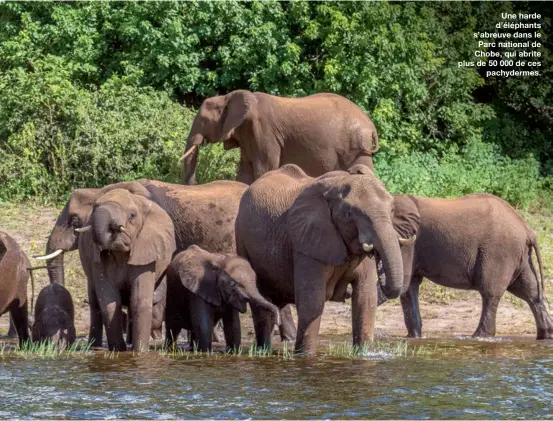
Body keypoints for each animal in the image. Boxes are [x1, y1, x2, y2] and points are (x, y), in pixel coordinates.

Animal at [181, 89, 380, 185]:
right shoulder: (248, 136)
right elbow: (245, 171)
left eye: (204, 120)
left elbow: (264, 168)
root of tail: (371, 125)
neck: (227, 96)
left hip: (355, 146)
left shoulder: (264, 131)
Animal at [234, 164, 414, 354]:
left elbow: (365, 299)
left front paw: (363, 354)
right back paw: (262, 352)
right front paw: (305, 356)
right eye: (349, 214)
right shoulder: (306, 243)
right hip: (242, 239)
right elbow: (312, 303)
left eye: (392, 210)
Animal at [388, 192, 552, 340]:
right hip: (520, 255)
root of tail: (527, 229)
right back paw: (545, 335)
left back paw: (479, 337)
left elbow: (403, 282)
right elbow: (409, 285)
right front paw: (413, 338)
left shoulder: (408, 242)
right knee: (531, 292)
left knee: (490, 293)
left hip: (500, 252)